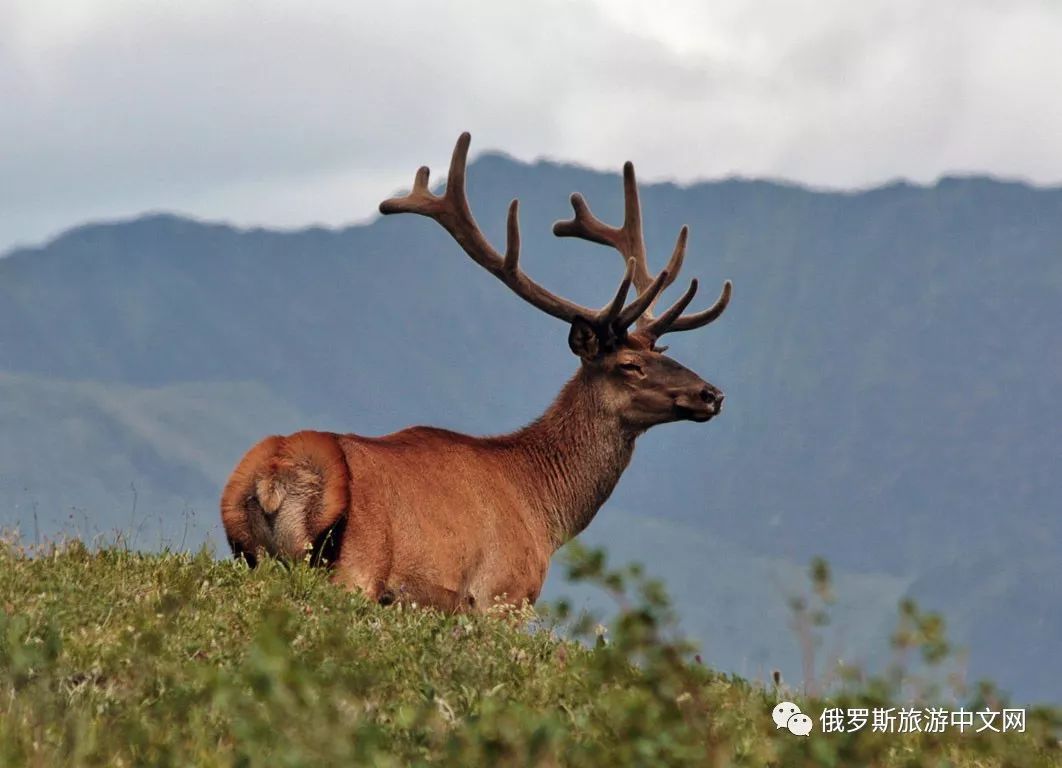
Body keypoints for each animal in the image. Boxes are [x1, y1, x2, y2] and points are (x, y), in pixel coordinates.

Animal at [216, 132, 730, 611]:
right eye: (629, 365)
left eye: (660, 352)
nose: (711, 394)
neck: (544, 511)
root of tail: (272, 480)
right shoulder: (502, 594)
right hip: (355, 568)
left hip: (250, 555)